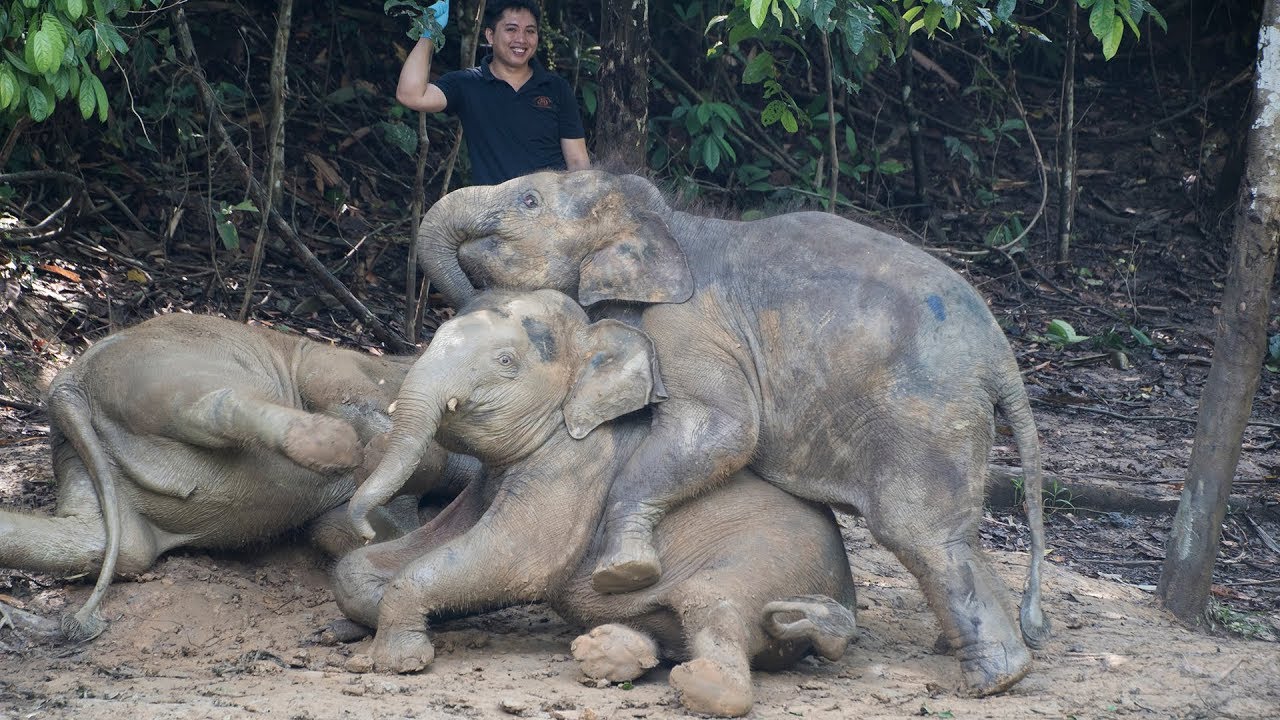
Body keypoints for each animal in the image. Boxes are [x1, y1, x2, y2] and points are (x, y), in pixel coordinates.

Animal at [0, 313, 466, 641]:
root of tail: (68, 383)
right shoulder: (335, 363)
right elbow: (354, 400)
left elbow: (336, 528)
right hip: (159, 370)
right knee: (211, 404)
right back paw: (334, 445)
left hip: (77, 456)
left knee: (117, 544)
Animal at [333, 290, 859, 717]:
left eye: (505, 360)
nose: (365, 526)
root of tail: (845, 600)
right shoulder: (486, 484)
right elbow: (408, 552)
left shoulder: (577, 466)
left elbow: (518, 561)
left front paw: (402, 661)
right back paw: (606, 651)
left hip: (775, 560)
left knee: (716, 603)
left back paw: (696, 683)